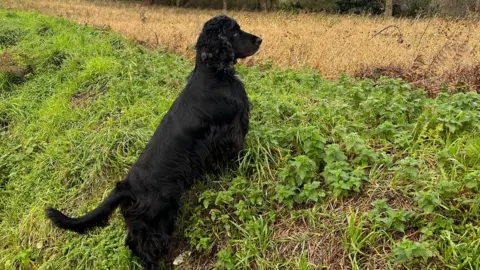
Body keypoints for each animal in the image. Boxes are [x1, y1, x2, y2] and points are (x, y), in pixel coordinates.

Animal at [46, 15, 262, 270]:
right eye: (235, 31)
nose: (260, 39)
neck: (213, 73)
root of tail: (125, 187)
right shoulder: (230, 130)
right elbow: (236, 151)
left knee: (131, 242)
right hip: (157, 220)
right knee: (146, 249)